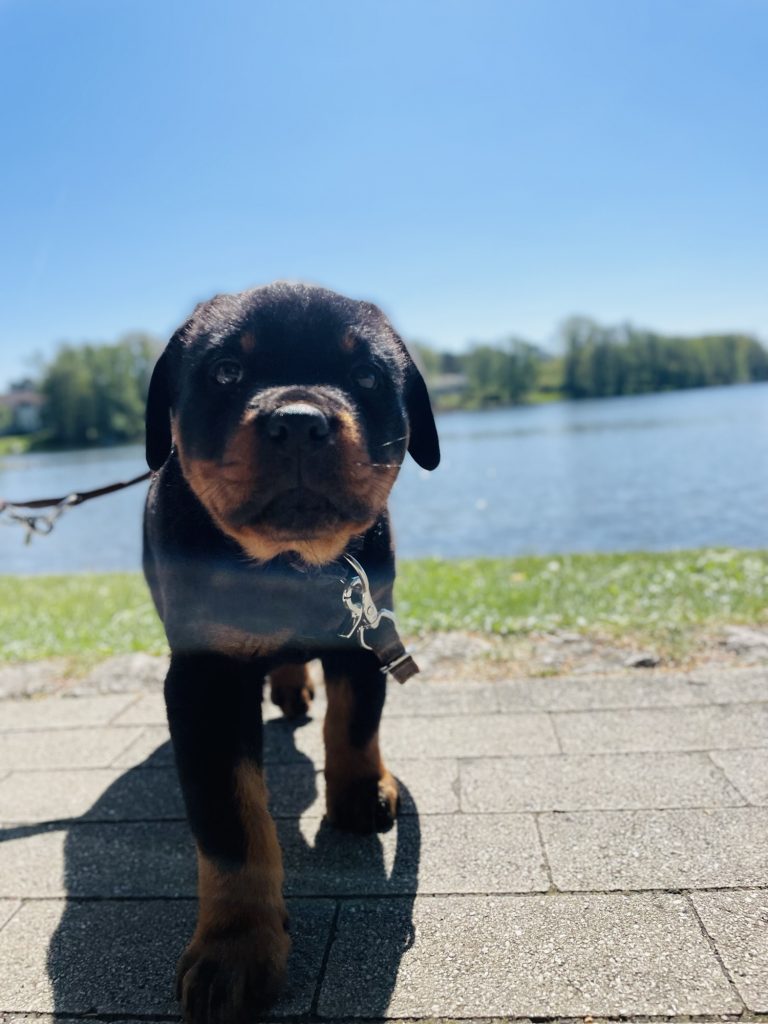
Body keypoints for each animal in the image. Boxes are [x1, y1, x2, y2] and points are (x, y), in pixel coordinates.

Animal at [142, 282, 439, 1024]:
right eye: (226, 372)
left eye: (366, 375)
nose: (300, 421)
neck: (290, 565)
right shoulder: (204, 681)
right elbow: (232, 825)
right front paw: (236, 948)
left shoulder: (366, 629)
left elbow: (354, 721)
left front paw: (360, 791)